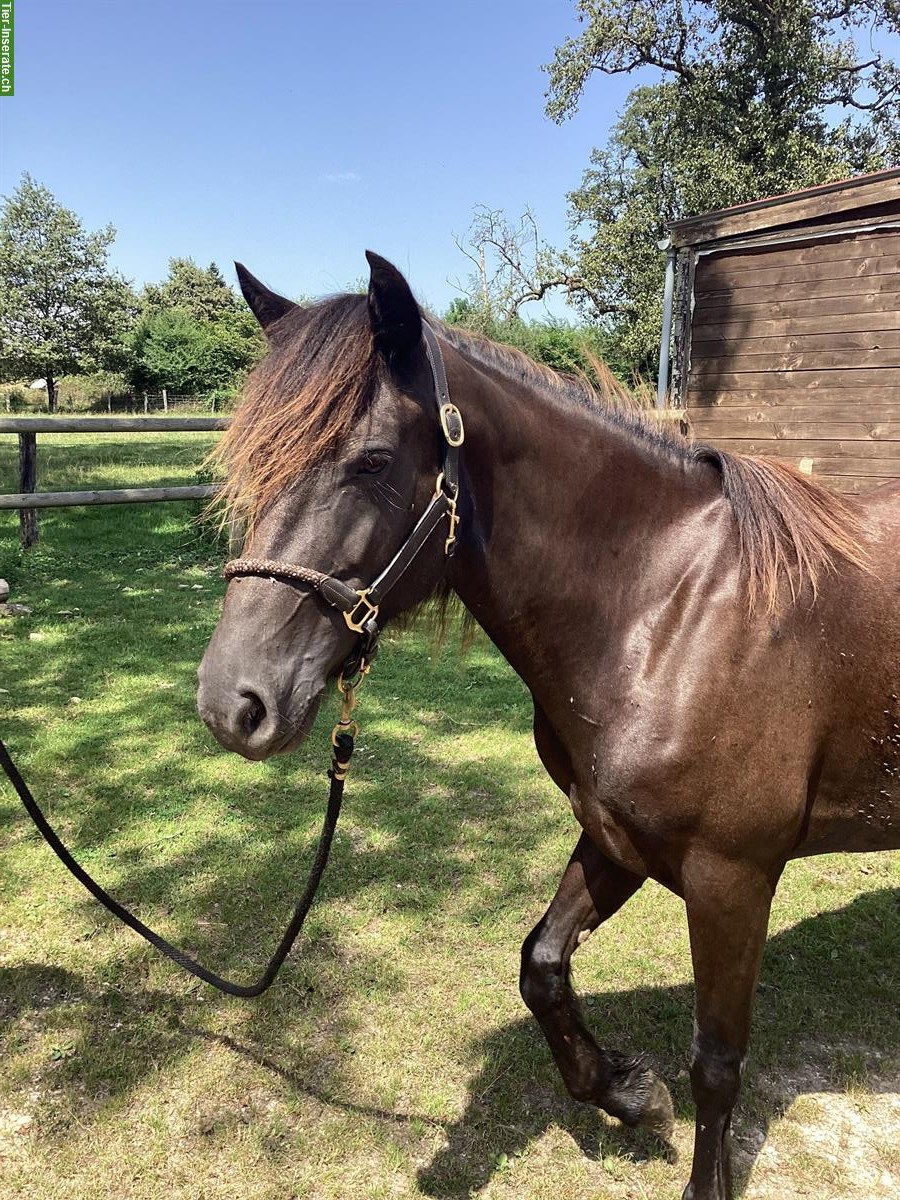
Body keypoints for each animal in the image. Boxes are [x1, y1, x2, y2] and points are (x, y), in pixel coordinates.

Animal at [199, 255, 900, 1200]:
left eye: (373, 459)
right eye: (254, 459)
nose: (232, 702)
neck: (668, 608)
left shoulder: (733, 878)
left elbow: (717, 1065)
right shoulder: (614, 835)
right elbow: (542, 964)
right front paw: (628, 1094)